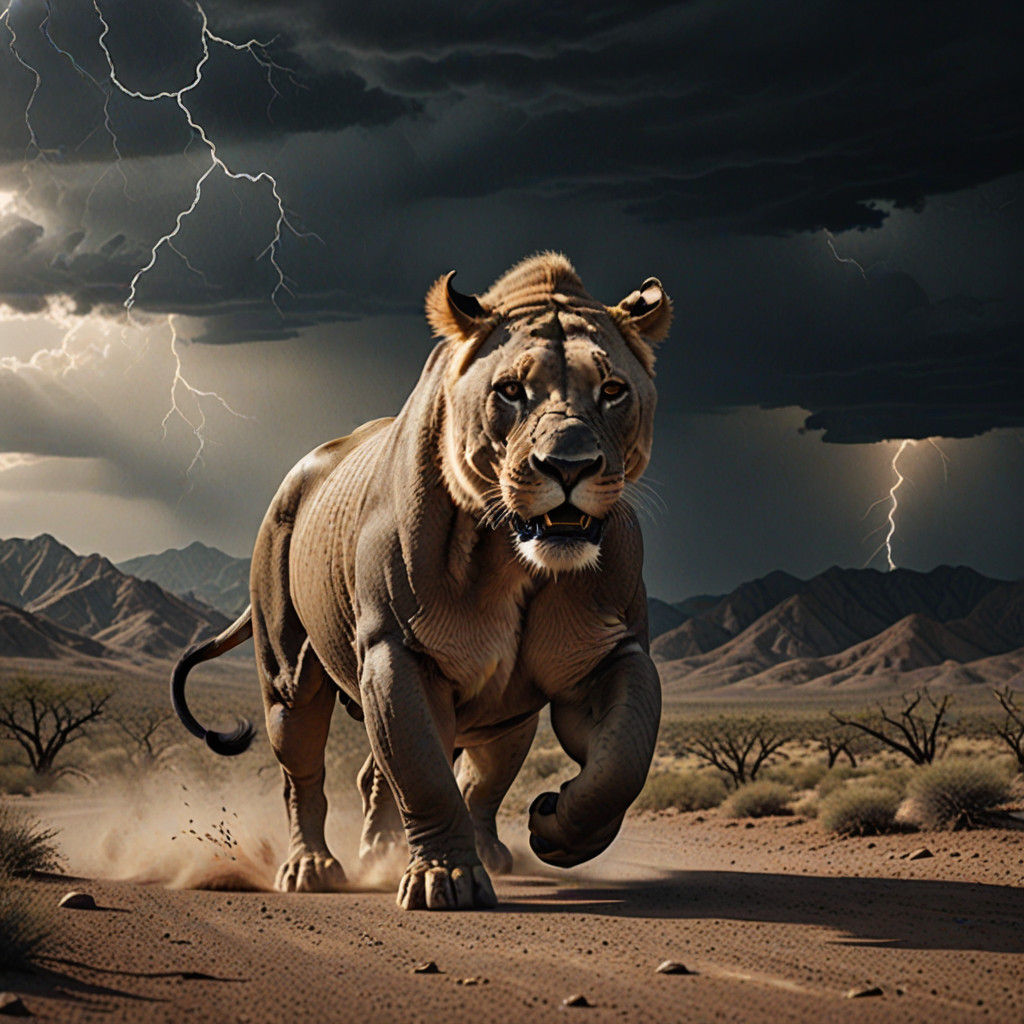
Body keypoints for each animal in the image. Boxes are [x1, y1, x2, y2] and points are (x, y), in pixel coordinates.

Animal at [171, 252, 670, 910]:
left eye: (612, 390)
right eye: (511, 391)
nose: (569, 467)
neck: (513, 558)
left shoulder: (610, 653)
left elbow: (620, 761)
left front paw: (554, 824)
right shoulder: (398, 651)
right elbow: (425, 776)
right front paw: (446, 879)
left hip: (498, 714)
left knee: (428, 775)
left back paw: (423, 851)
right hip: (288, 679)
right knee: (303, 775)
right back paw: (312, 868)